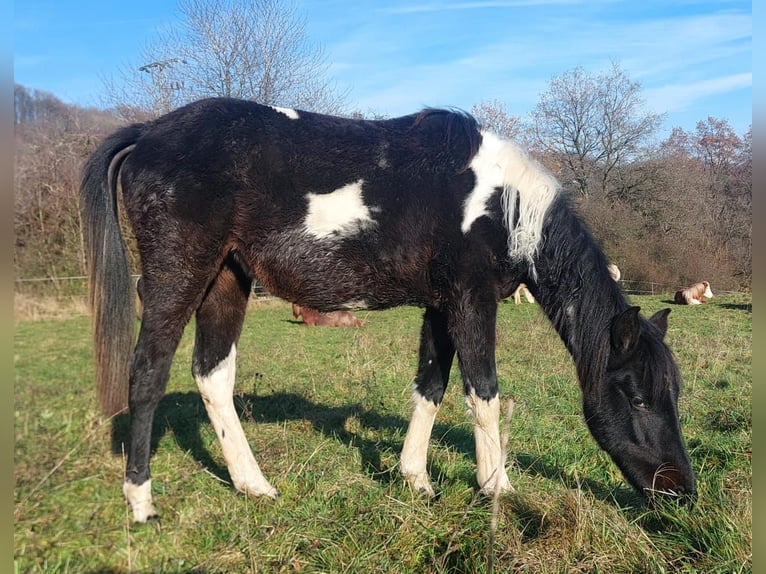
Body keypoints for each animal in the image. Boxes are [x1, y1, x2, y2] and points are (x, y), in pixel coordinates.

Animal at [81, 98, 700, 520]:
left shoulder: (440, 307)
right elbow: (484, 390)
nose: (681, 491)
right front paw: (497, 488)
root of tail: (148, 134)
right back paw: (141, 502)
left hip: (226, 281)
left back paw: (254, 486)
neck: (502, 204)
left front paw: (416, 480)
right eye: (636, 397)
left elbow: (431, 387)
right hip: (178, 277)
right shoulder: (471, 301)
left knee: (213, 377)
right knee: (148, 376)